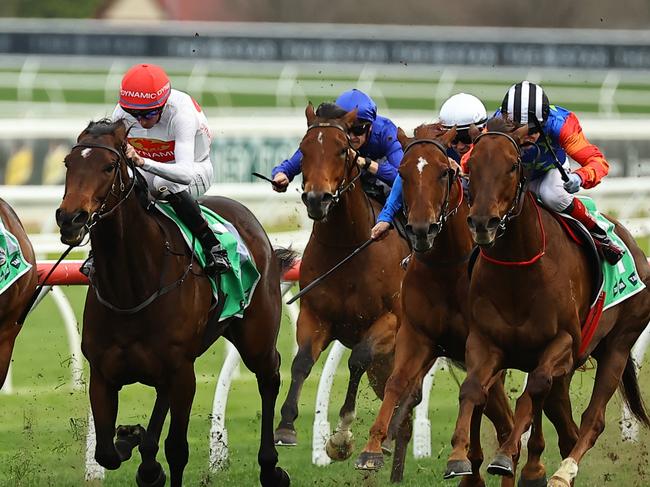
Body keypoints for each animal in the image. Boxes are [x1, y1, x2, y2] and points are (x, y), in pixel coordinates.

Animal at [55, 119, 294, 487]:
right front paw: (132, 440)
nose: (70, 219)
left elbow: (176, 449)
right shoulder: (103, 374)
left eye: (108, 166)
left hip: (256, 337)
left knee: (269, 376)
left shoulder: (183, 372)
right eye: (68, 164)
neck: (132, 288)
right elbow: (106, 452)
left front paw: (150, 461)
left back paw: (271, 467)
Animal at [274, 103, 410, 480]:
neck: (348, 249)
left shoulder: (390, 322)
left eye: (341, 150)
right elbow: (302, 361)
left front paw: (342, 437)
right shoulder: (315, 315)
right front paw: (286, 426)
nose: (316, 199)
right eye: (303, 149)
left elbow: (357, 358)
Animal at [350, 127, 516, 487]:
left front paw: (458, 457)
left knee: (507, 425)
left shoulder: (480, 349)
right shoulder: (416, 336)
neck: (446, 267)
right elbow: (397, 382)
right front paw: (371, 449)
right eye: (401, 172)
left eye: (444, 172)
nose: (421, 229)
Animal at [442, 118, 648, 487]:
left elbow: (534, 387)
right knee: (567, 427)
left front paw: (505, 457)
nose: (482, 223)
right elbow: (471, 389)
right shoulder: (484, 341)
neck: (518, 271)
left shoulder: (562, 344)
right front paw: (458, 457)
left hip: (618, 345)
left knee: (592, 420)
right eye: (471, 164)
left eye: (513, 165)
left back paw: (563, 472)